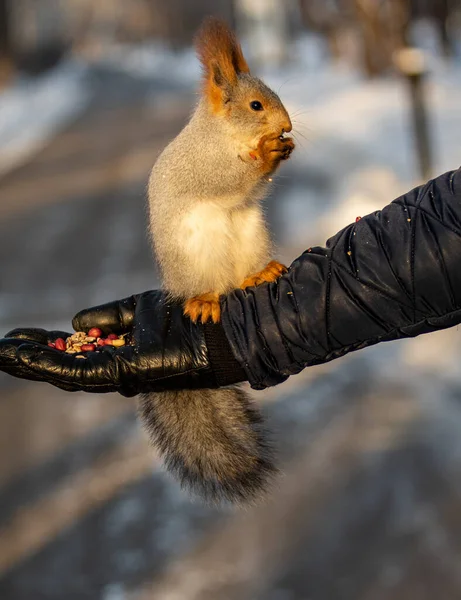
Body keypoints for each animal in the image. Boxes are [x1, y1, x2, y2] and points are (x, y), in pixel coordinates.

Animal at [139, 16, 294, 504]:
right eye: (256, 105)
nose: (287, 125)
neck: (227, 134)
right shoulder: (206, 165)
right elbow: (230, 178)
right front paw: (268, 152)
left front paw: (283, 147)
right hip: (194, 256)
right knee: (206, 288)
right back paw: (205, 300)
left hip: (251, 232)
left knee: (241, 278)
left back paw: (259, 274)